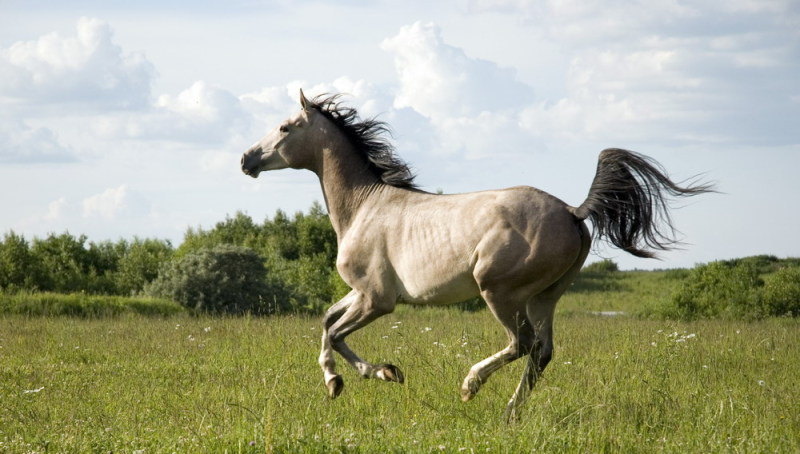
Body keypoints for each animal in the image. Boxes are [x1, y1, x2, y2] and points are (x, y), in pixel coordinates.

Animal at [239, 89, 712, 422]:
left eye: (285, 127)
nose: (246, 160)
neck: (364, 206)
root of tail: (574, 212)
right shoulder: (360, 294)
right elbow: (325, 322)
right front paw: (347, 380)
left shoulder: (377, 300)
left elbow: (336, 333)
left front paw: (370, 375)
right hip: (545, 297)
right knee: (542, 353)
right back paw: (510, 414)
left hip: (500, 293)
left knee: (522, 344)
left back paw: (471, 386)